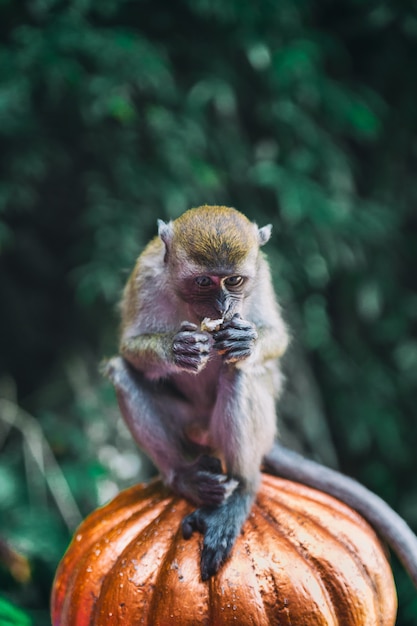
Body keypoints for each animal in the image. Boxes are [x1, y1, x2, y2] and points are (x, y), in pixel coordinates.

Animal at [103, 205, 416, 584]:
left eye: (234, 281)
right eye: (204, 282)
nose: (222, 304)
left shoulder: (263, 276)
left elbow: (275, 338)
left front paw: (245, 342)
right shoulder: (145, 275)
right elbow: (129, 349)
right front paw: (179, 348)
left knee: (238, 371)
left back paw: (242, 490)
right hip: (191, 426)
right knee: (123, 371)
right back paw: (185, 477)